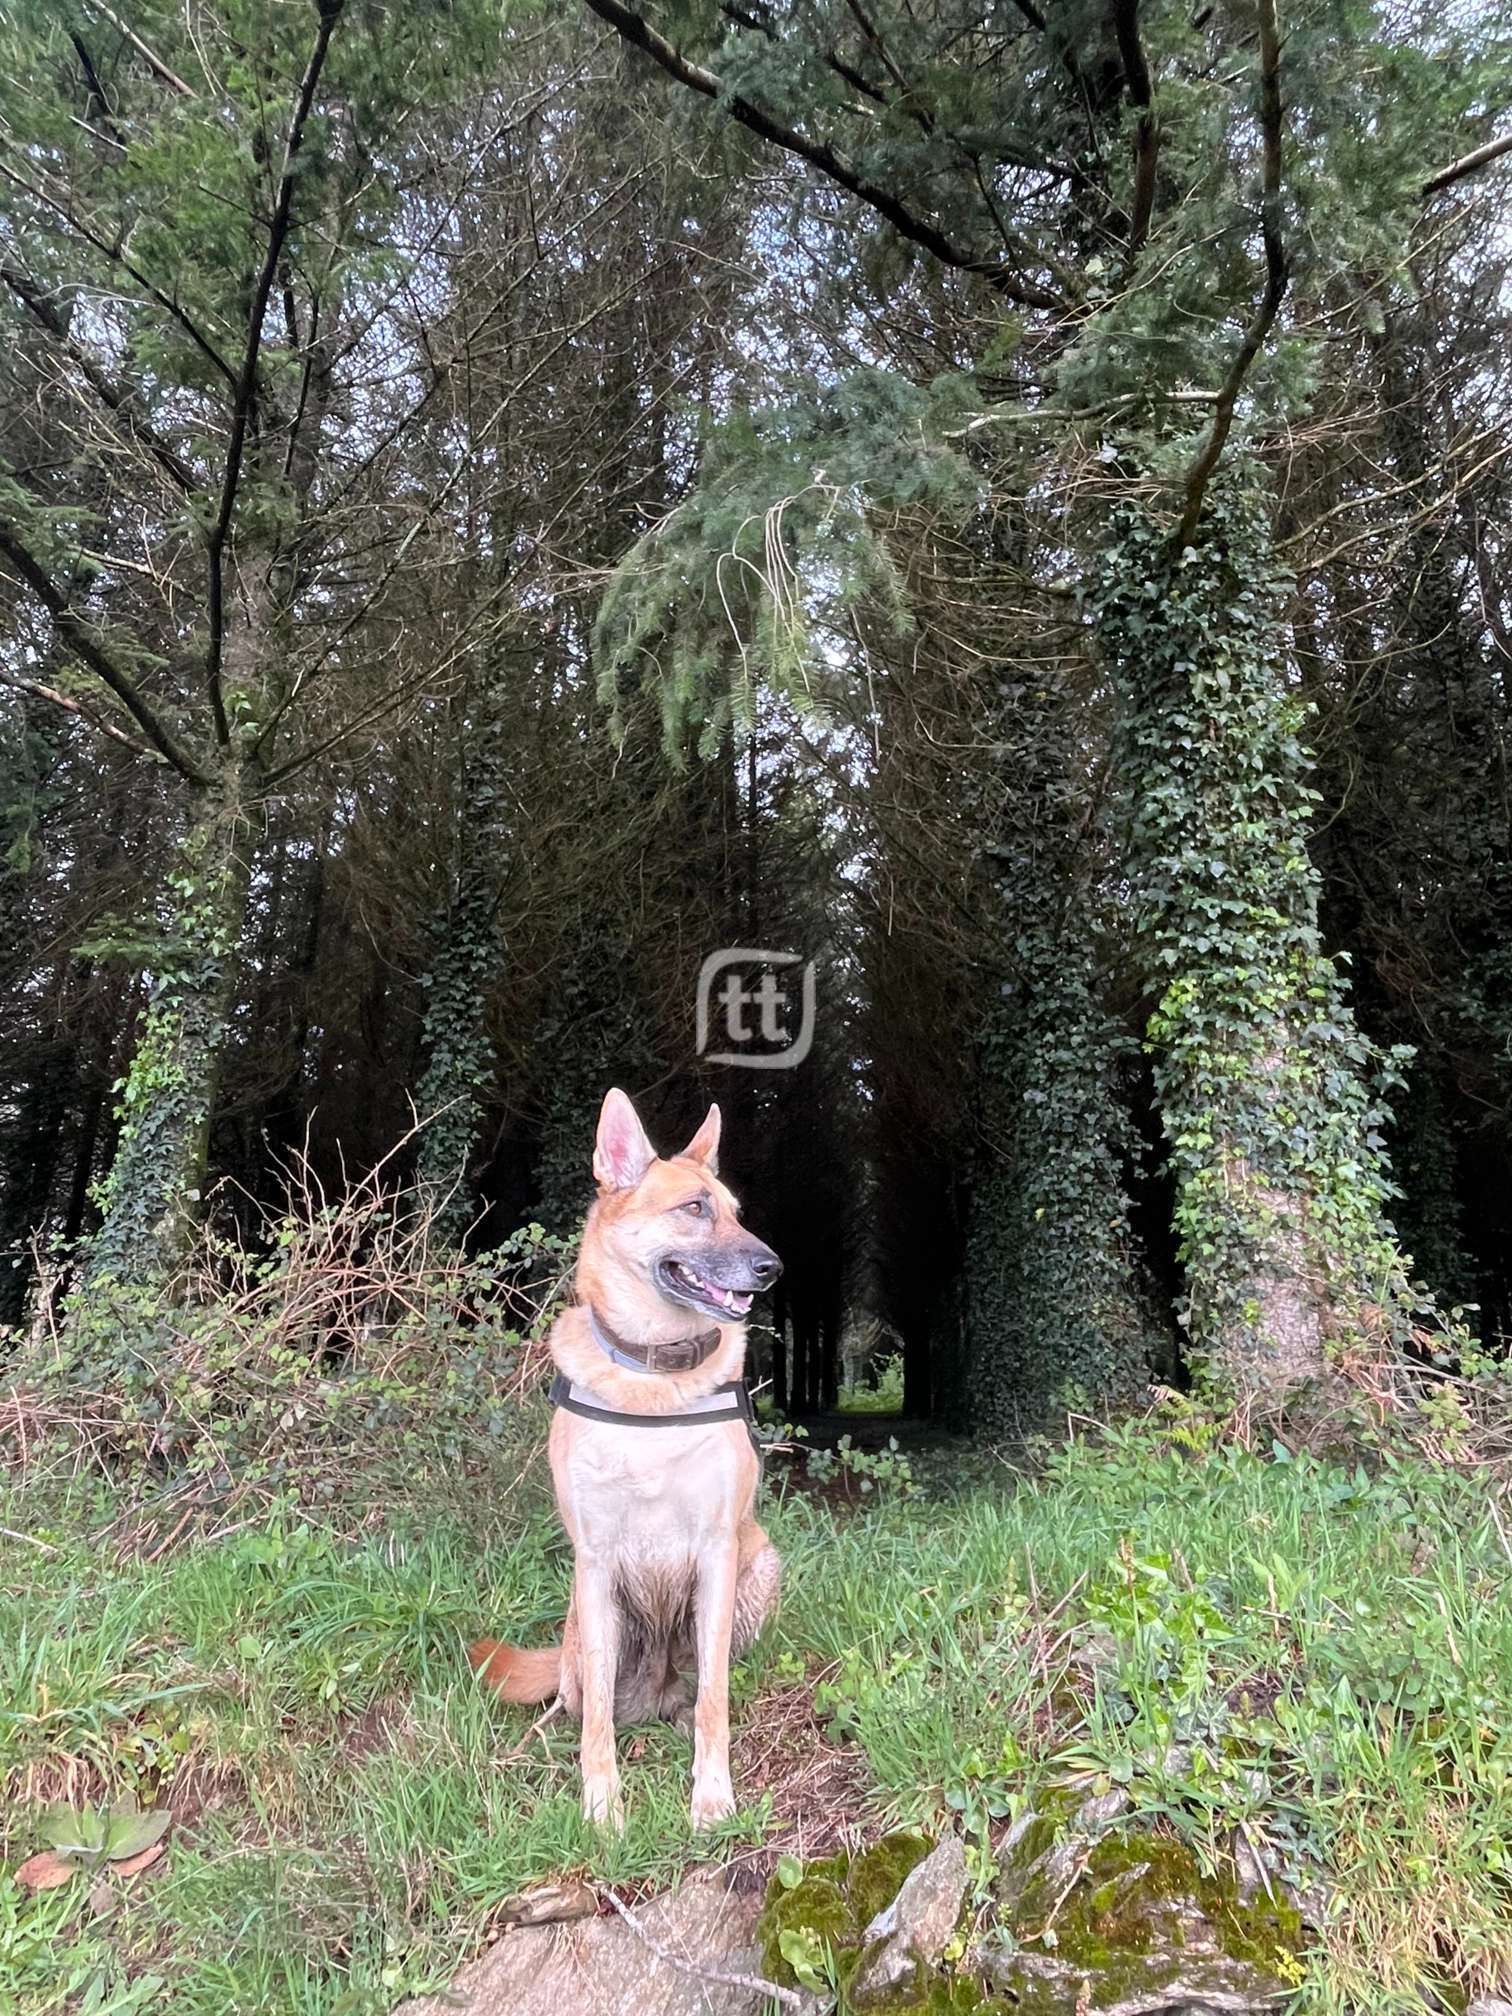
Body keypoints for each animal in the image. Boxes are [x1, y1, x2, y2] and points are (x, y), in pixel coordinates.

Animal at [471, 1087, 783, 1830]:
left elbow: (715, 1699)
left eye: (735, 1212)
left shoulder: (718, 1551)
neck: (653, 1380)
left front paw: (712, 1797)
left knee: (699, 1689)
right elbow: (597, 1726)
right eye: (693, 1209)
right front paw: (602, 1806)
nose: (773, 1267)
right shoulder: (595, 1561)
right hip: (586, 1626)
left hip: (760, 1564)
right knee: (578, 1698)